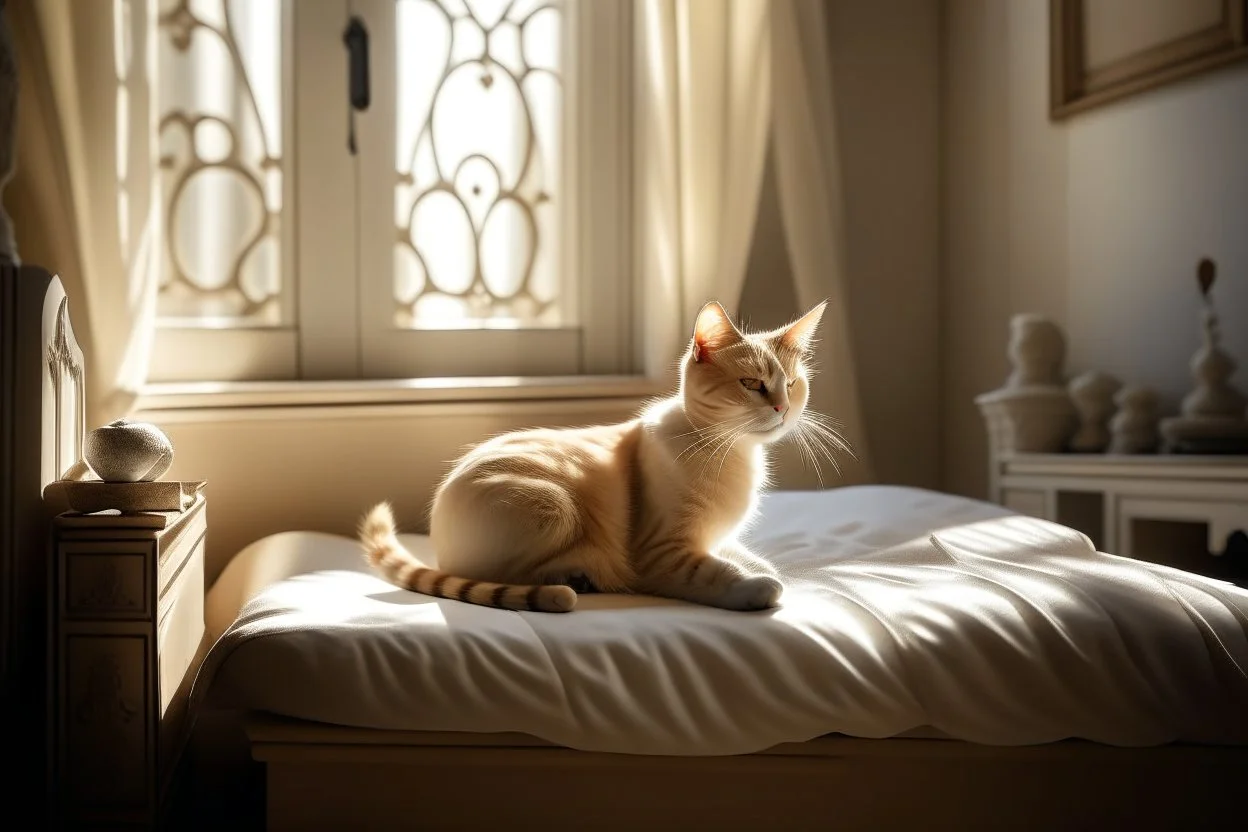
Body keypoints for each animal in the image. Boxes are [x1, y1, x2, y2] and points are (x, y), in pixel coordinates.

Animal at [361, 299, 848, 611]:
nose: (782, 408)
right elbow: (723, 574)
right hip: (553, 505)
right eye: (751, 384)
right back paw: (571, 580)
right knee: (498, 576)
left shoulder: (718, 537)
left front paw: (764, 570)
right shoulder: (661, 554)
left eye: (792, 385)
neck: (731, 452)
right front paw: (757, 589)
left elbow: (752, 557)